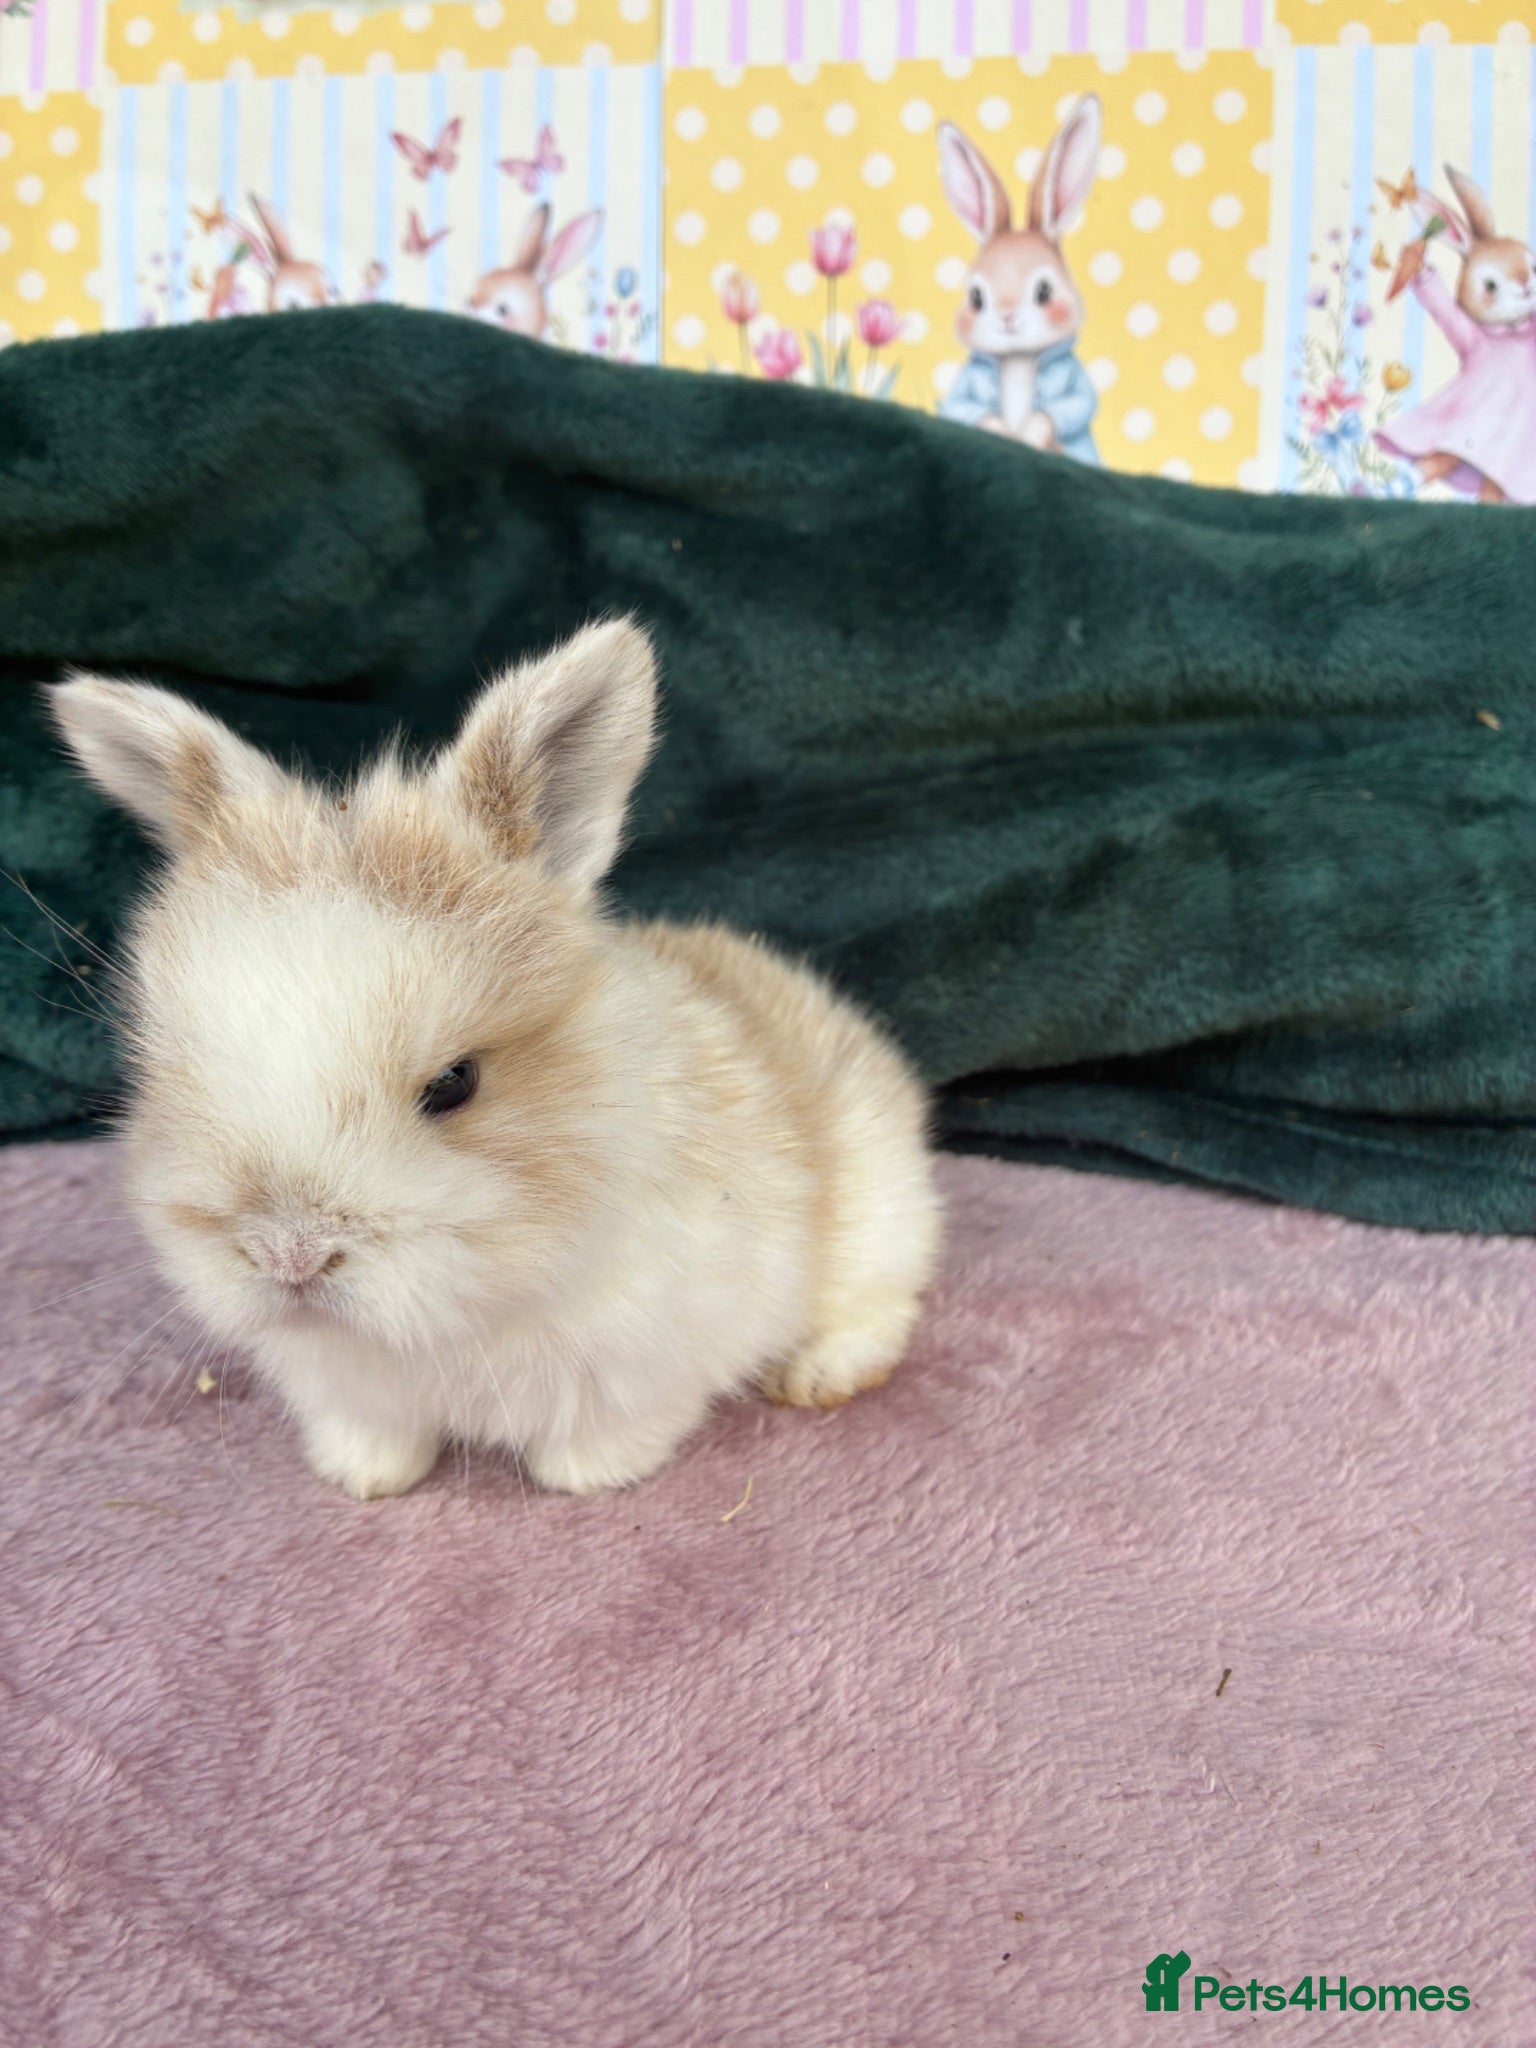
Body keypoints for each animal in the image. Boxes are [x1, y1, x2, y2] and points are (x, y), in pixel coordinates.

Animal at [49, 622, 941, 1504]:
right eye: (172, 1075)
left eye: (455, 1085)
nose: (287, 1255)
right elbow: (375, 1435)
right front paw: (363, 1477)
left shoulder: (653, 1360)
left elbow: (608, 1436)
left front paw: (585, 1477)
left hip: (881, 1216)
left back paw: (819, 1375)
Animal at [936, 95, 1102, 463]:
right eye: (976, 297)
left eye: (1044, 291)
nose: (1007, 318)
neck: (1018, 360)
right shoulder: (965, 391)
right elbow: (963, 406)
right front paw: (1002, 432)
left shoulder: (1073, 385)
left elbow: (1073, 405)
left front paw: (1027, 435)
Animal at [1375, 166, 1536, 505]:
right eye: (1490, 285)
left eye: (1532, 265)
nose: (1526, 286)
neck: (1510, 332)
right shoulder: (1469, 336)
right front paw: (1419, 266)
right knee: (1437, 458)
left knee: (1489, 482)